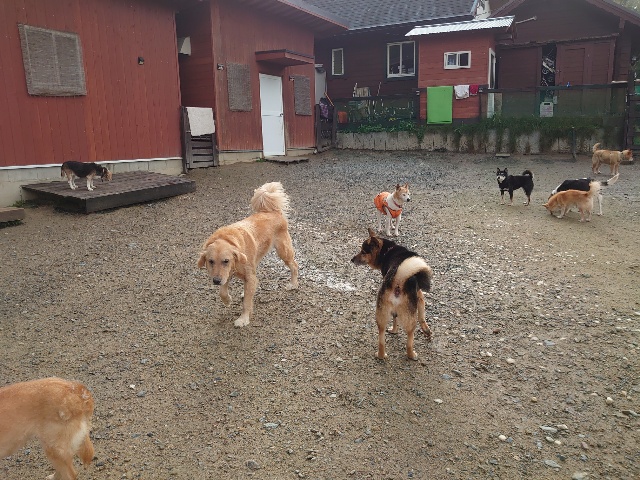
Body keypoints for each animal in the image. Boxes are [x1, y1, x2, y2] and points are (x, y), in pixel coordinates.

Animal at [197, 182, 298, 327]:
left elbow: (246, 303)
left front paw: (243, 319)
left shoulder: (246, 276)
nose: (216, 281)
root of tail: (274, 211)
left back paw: (293, 284)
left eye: (226, 261)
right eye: (210, 261)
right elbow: (222, 291)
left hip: (283, 251)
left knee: (294, 265)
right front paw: (227, 300)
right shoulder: (227, 274)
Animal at [351, 228, 433, 361]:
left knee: (381, 339)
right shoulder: (419, 295)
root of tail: (398, 279)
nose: (352, 259)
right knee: (409, 339)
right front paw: (425, 331)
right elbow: (421, 315)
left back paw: (381, 355)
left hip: (381, 315)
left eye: (363, 251)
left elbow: (405, 317)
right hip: (410, 320)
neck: (388, 251)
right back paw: (411, 355)